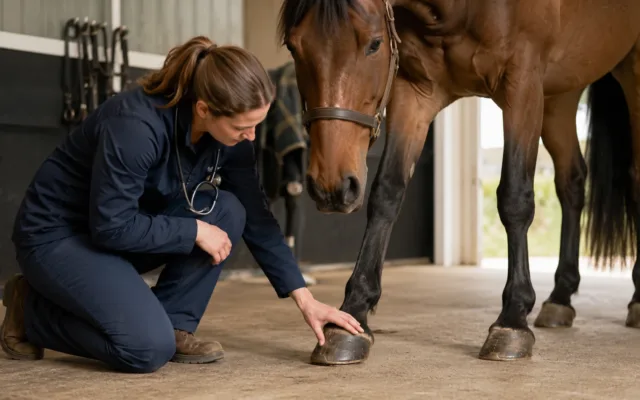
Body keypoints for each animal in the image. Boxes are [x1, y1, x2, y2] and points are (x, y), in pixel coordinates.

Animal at [276, 0, 640, 365]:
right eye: (293, 46)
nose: (331, 188)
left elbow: (514, 198)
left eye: (375, 44)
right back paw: (561, 297)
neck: (460, 11)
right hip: (560, 94)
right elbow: (386, 193)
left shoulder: (522, 83)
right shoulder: (414, 94)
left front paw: (513, 319)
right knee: (572, 181)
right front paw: (351, 316)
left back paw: (635, 298)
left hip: (625, 76)